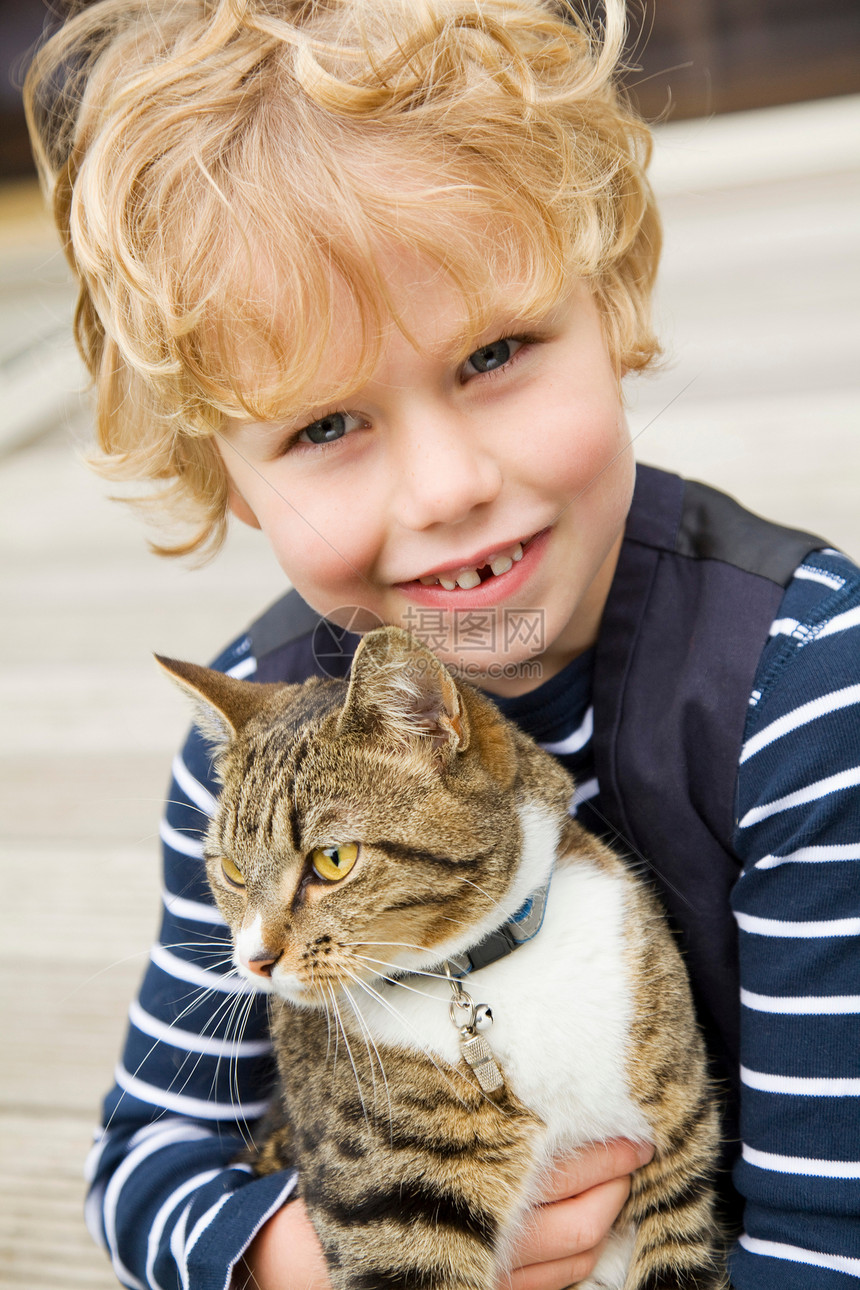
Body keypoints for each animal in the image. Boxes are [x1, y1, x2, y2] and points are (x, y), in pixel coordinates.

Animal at [161, 626, 727, 1290]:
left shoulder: (681, 1149)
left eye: (332, 859)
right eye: (230, 870)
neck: (479, 970)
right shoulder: (392, 1214)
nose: (254, 960)